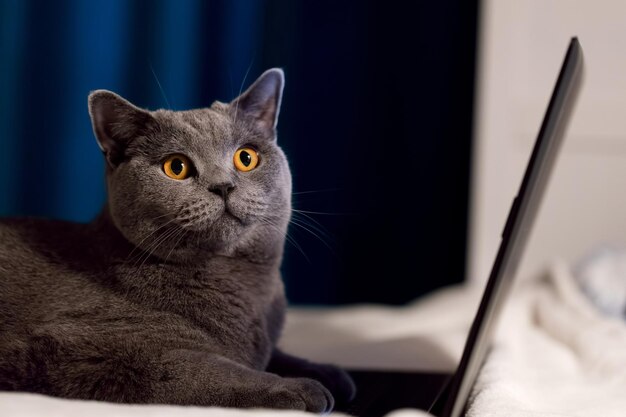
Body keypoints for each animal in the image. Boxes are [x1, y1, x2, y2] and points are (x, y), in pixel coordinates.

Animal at [0, 70, 354, 412]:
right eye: (176, 167)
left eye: (246, 158)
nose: (223, 186)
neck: (243, 286)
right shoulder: (95, 349)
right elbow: (215, 372)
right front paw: (301, 388)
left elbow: (277, 355)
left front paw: (330, 372)